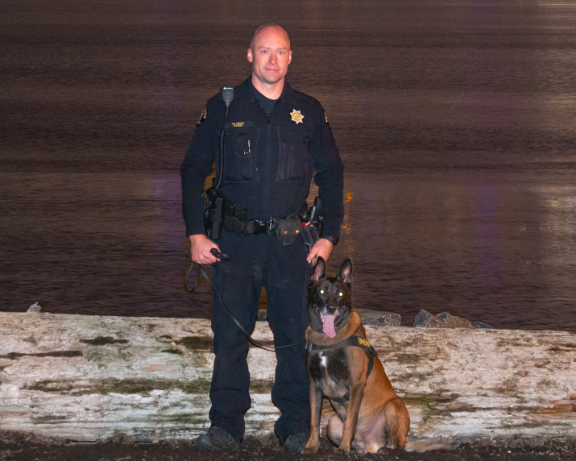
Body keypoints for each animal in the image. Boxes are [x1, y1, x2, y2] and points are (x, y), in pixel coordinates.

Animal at [303, 257, 410, 454]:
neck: (328, 340)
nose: (331, 308)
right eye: (322, 291)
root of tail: (372, 443)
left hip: (393, 406)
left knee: (397, 444)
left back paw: (386, 450)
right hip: (332, 423)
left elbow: (350, 423)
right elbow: (314, 421)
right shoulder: (314, 385)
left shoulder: (356, 385)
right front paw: (312, 445)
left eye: (340, 294)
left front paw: (343, 449)